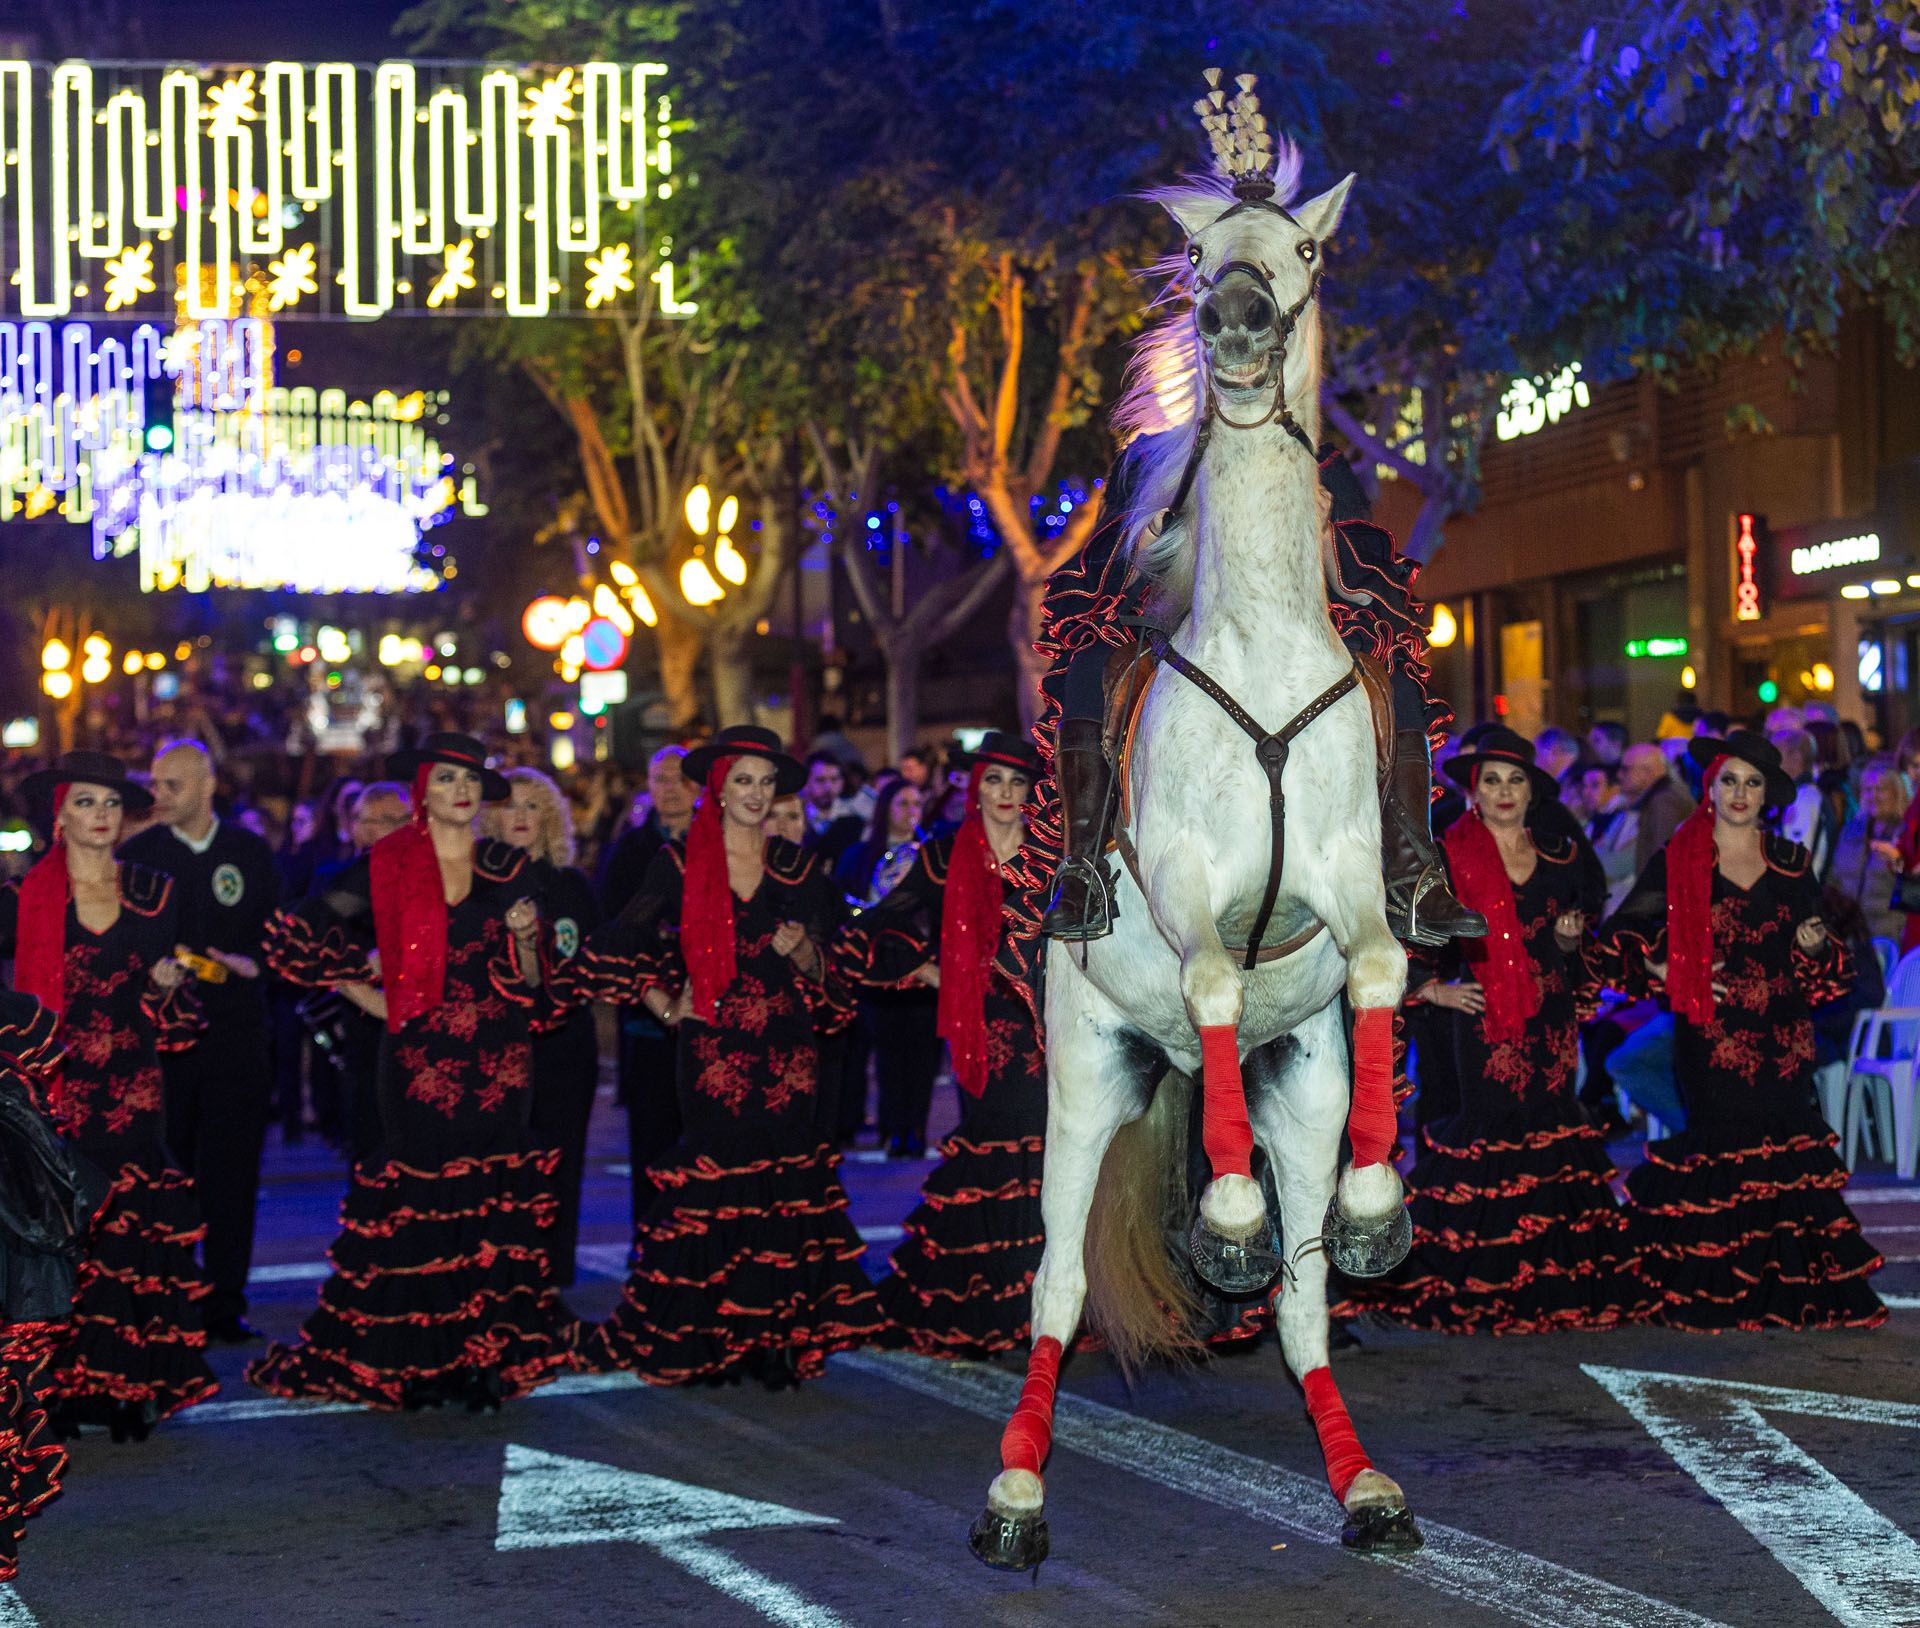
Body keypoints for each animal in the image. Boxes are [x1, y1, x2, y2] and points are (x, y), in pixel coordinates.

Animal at [975, 98, 1428, 1566]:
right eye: (1195, 252)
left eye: (1306, 251)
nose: (1232, 322)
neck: (1265, 642)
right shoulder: (1185, 884)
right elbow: (1221, 966)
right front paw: (1225, 1212)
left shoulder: (1346, 882)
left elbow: (1387, 959)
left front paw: (1371, 1204)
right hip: (1083, 1073)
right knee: (1056, 1287)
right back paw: (1015, 1494)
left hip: (1307, 1084)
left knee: (1300, 1307)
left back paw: (1364, 1483)